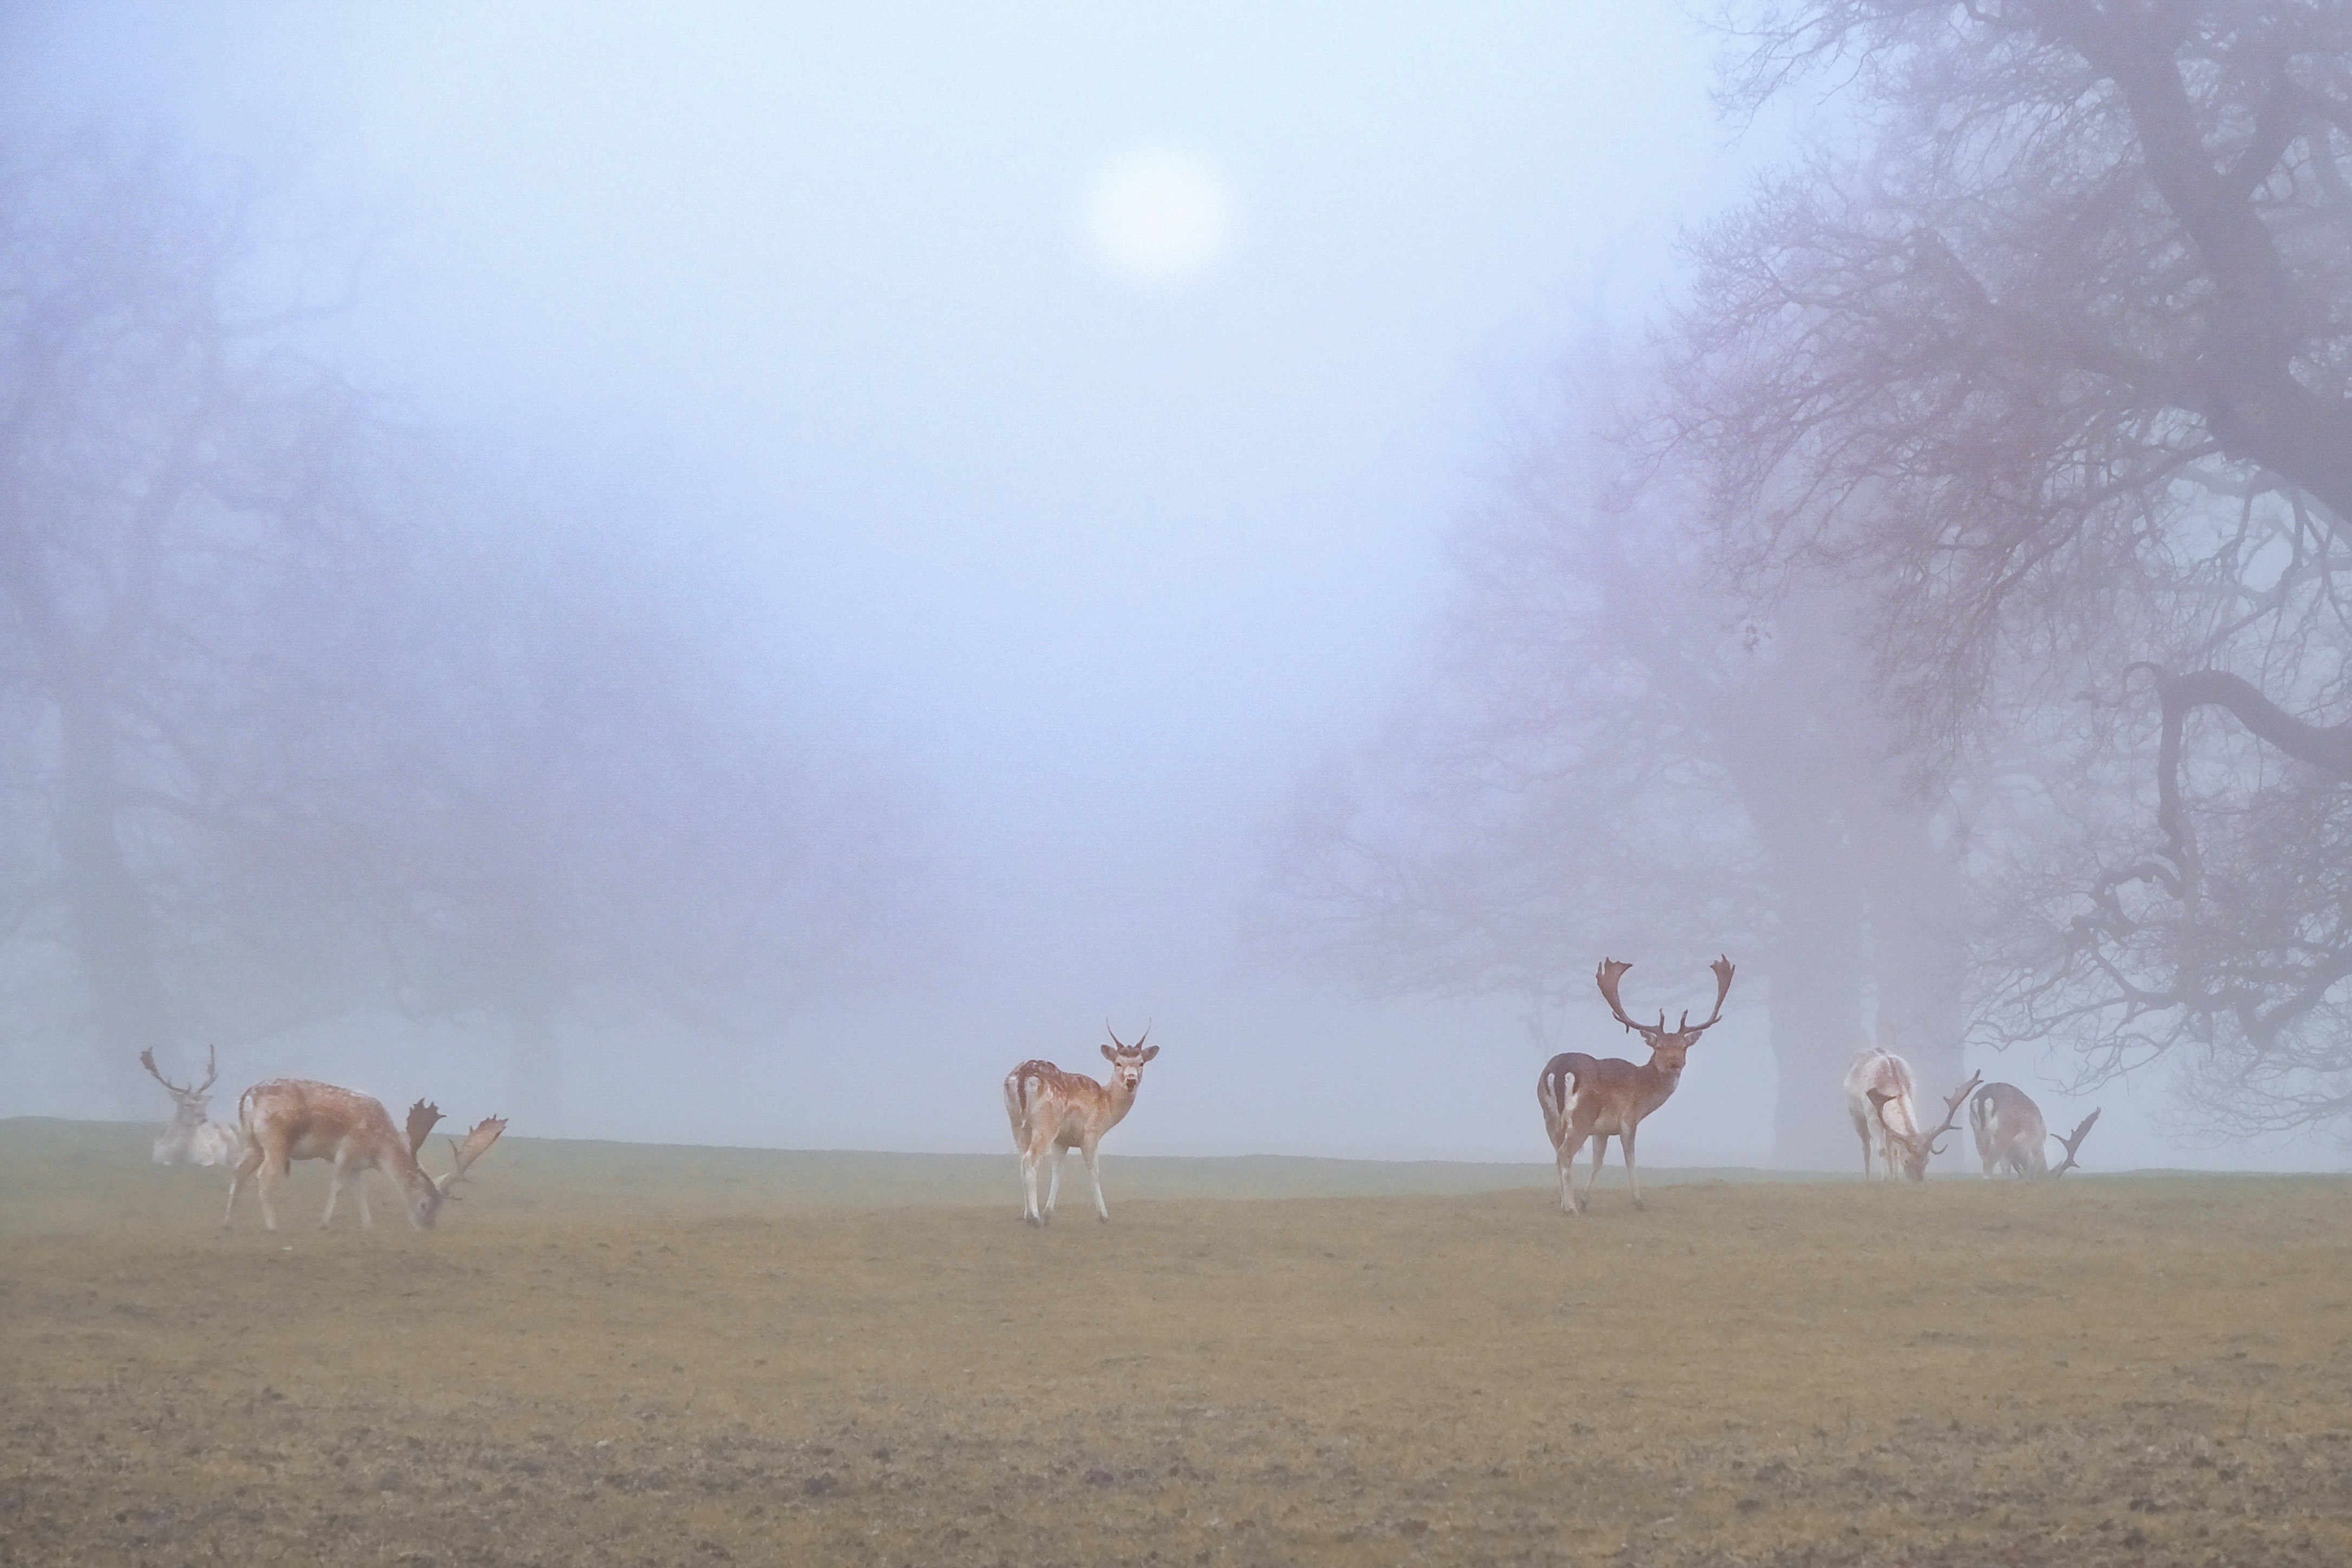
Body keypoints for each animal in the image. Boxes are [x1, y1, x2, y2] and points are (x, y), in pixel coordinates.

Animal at [140, 1046, 242, 1166]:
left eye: (204, 1104)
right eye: (187, 1104)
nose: (203, 1119)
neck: (180, 1157)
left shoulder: (208, 1155)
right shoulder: (157, 1159)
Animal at [222, 1079, 507, 1232]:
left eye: (441, 1207)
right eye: (425, 1204)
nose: (428, 1227)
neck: (378, 1150)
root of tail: (247, 1097)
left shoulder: (359, 1165)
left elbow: (360, 1190)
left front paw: (368, 1225)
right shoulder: (347, 1151)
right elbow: (338, 1186)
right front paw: (324, 1224)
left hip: (254, 1144)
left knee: (238, 1172)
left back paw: (228, 1224)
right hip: (276, 1142)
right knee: (263, 1176)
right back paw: (273, 1226)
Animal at [1003, 1024, 1158, 1226]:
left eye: (1141, 1063)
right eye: (1118, 1063)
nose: (1131, 1080)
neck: (1106, 1104)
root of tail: (1023, 1075)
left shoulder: (1062, 1140)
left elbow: (1057, 1171)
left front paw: (1049, 1213)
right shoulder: (1091, 1134)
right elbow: (1094, 1171)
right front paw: (1104, 1216)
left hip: (1017, 1124)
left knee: (1021, 1160)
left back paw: (1027, 1215)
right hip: (1046, 1125)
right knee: (1030, 1160)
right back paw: (1035, 1219)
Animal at [1536, 955, 1734, 1215]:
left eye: (1683, 1047)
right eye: (1659, 1047)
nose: (1675, 1064)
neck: (1644, 1091)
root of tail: (1560, 1070)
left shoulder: (1602, 1129)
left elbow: (1598, 1162)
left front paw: (1586, 1200)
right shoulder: (1628, 1118)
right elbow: (1630, 1159)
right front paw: (1638, 1201)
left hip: (1549, 1116)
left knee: (1557, 1156)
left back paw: (1564, 1203)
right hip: (1582, 1117)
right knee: (1565, 1154)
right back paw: (1571, 1209)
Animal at [1844, 1048, 1977, 1181]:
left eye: (1927, 1161)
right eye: (1907, 1161)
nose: (1918, 1180)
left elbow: (1894, 1150)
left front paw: (1895, 1179)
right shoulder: (1871, 1114)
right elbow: (1882, 1150)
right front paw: (1885, 1179)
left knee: (1889, 1146)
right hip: (1854, 1112)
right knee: (1866, 1144)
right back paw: (1867, 1178)